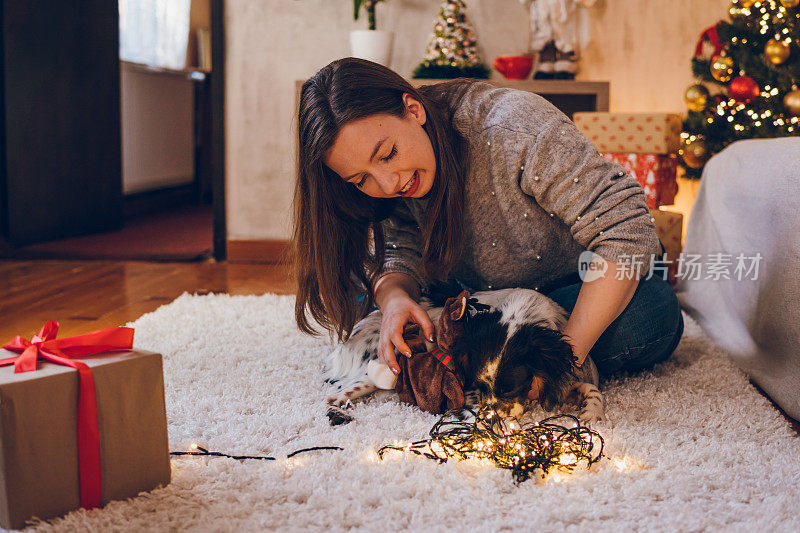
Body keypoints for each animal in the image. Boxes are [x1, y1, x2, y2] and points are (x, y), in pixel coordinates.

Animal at [322, 288, 604, 422]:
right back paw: (338, 408)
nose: (487, 414)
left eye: (510, 390)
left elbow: (591, 388)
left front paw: (593, 414)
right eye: (479, 386)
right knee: (344, 389)